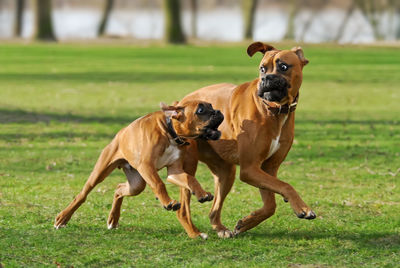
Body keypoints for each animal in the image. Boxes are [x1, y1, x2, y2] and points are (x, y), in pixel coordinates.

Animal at [53, 100, 223, 239]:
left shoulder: (174, 172)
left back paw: (113, 219)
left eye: (211, 106)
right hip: (100, 173)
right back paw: (62, 218)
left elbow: (190, 179)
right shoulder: (147, 166)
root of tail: (121, 133)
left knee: (119, 189)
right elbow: (159, 184)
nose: (218, 111)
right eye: (200, 110)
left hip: (136, 184)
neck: (169, 131)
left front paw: (202, 194)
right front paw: (168, 202)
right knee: (82, 195)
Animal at [177, 42, 318, 239]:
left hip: (226, 173)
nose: (266, 79)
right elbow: (286, 185)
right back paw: (194, 233)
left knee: (214, 210)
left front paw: (246, 223)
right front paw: (303, 208)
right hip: (189, 166)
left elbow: (271, 205)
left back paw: (220, 229)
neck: (274, 110)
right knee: (183, 208)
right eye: (262, 69)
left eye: (283, 66)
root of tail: (181, 103)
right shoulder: (250, 169)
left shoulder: (266, 169)